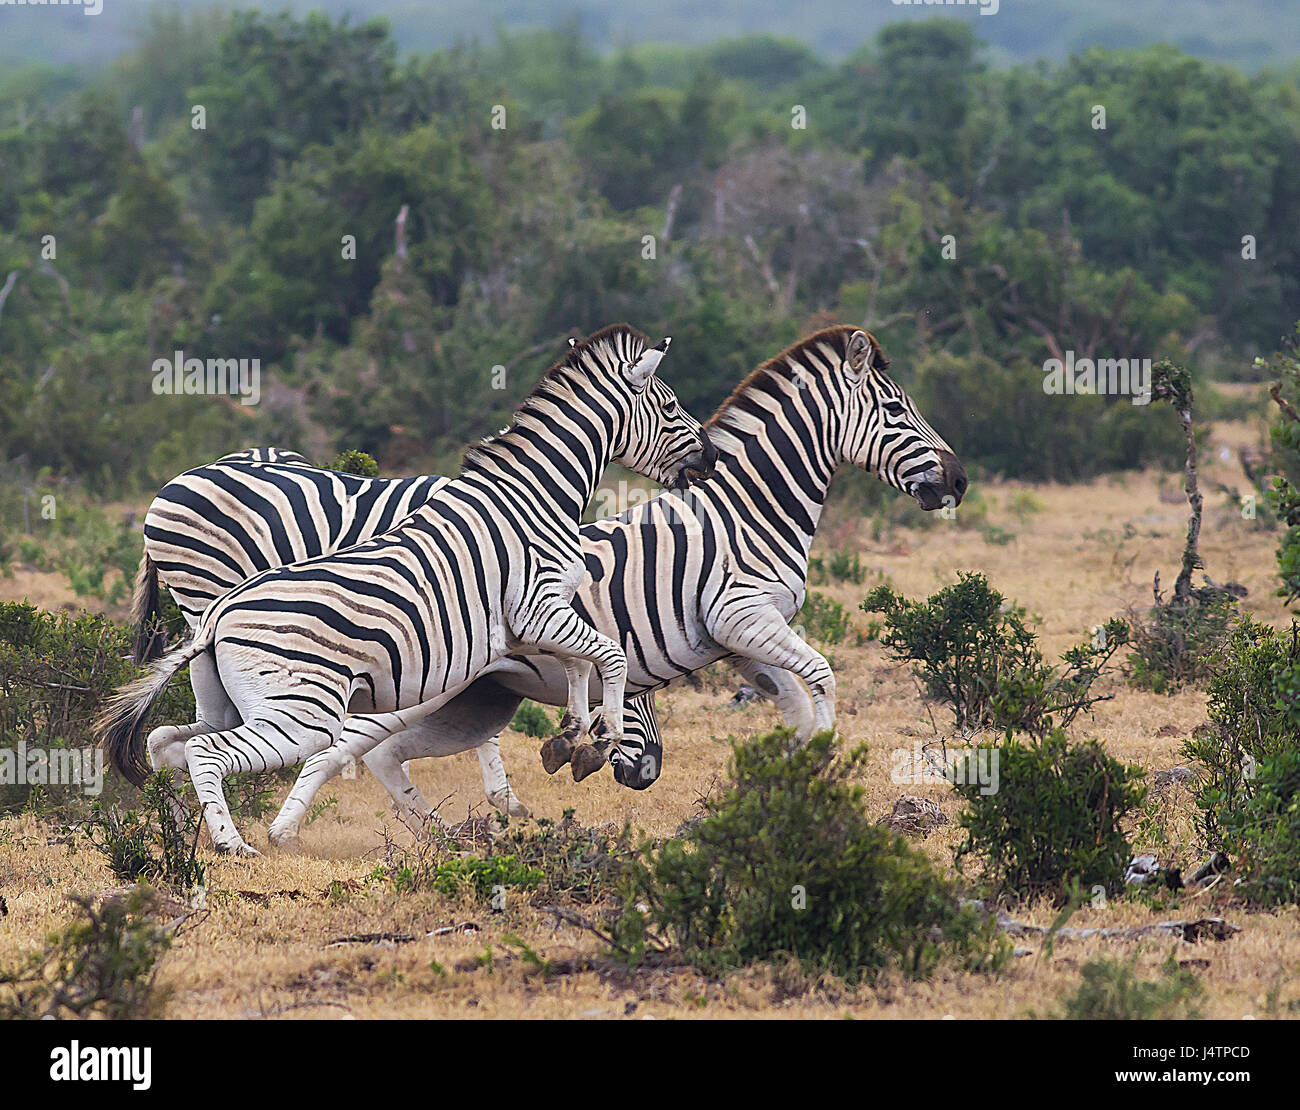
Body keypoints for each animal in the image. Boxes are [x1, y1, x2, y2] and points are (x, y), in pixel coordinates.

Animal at [100, 324, 714, 856]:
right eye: (670, 407)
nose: (708, 457)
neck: (529, 496)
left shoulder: (531, 618)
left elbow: (578, 665)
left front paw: (570, 738)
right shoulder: (528, 610)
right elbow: (600, 658)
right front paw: (584, 744)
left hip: (227, 692)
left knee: (168, 740)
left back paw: (178, 828)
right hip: (279, 687)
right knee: (205, 749)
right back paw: (229, 843)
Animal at [268, 324, 967, 841]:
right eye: (896, 409)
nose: (958, 482)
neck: (749, 508)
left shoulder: (741, 642)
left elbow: (793, 701)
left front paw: (791, 782)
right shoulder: (740, 615)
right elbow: (822, 676)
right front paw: (822, 762)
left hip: (476, 698)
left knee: (386, 755)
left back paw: (449, 836)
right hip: (422, 684)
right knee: (339, 749)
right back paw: (284, 836)